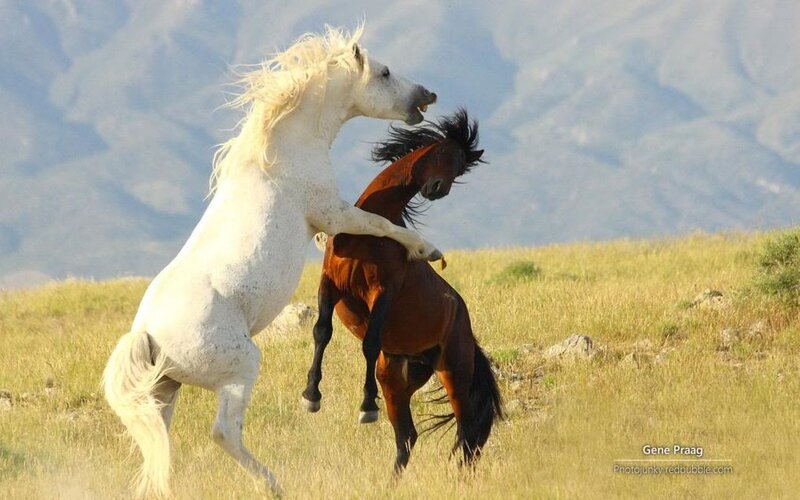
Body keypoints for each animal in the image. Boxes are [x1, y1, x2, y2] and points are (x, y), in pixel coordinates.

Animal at [101, 26, 443, 498]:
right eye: (386, 72)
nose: (426, 94)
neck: (280, 155)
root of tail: (147, 333)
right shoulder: (333, 215)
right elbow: (379, 223)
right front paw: (427, 249)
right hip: (240, 368)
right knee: (224, 433)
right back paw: (272, 483)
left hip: (164, 391)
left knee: (160, 445)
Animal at [301, 110, 503, 473]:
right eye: (444, 153)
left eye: (460, 168)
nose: (438, 189)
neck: (370, 231)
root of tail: (466, 327)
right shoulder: (330, 284)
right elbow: (321, 332)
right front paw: (311, 396)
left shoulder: (383, 290)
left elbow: (369, 343)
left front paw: (366, 407)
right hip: (397, 379)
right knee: (407, 436)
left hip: (454, 371)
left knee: (467, 432)